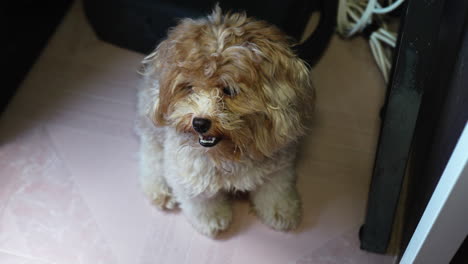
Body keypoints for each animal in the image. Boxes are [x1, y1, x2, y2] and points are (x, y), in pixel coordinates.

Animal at [137, 6, 316, 237]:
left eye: (229, 90)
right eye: (189, 87)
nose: (199, 123)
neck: (231, 151)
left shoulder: (278, 166)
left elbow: (276, 191)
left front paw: (282, 212)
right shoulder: (189, 172)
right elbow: (202, 202)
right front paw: (212, 220)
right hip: (152, 128)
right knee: (150, 156)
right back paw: (160, 190)